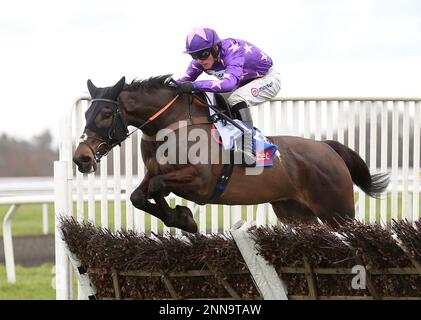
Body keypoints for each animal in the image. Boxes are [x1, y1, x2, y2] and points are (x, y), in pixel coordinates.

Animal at [73, 76, 390, 234]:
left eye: (105, 113)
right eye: (86, 113)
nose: (81, 158)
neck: (173, 126)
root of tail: (327, 148)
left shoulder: (201, 184)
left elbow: (156, 187)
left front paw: (183, 217)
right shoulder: (155, 171)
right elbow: (140, 195)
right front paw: (181, 218)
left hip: (338, 211)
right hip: (297, 213)